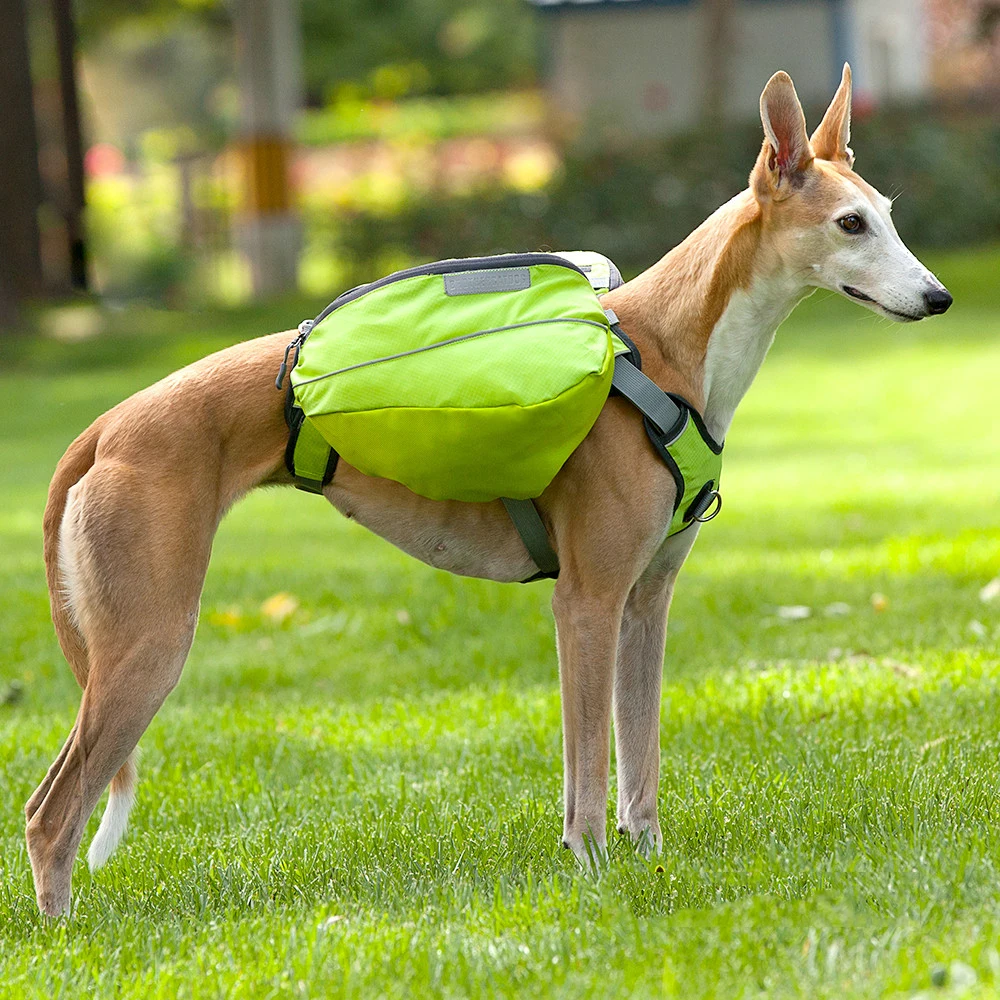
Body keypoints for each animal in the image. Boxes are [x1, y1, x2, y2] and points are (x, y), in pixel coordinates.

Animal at [25, 66, 952, 916]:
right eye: (850, 223)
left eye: (890, 214)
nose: (938, 297)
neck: (667, 352)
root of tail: (105, 430)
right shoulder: (586, 602)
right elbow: (588, 768)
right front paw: (590, 873)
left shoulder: (645, 602)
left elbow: (638, 763)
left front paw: (647, 863)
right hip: (149, 645)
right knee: (50, 816)